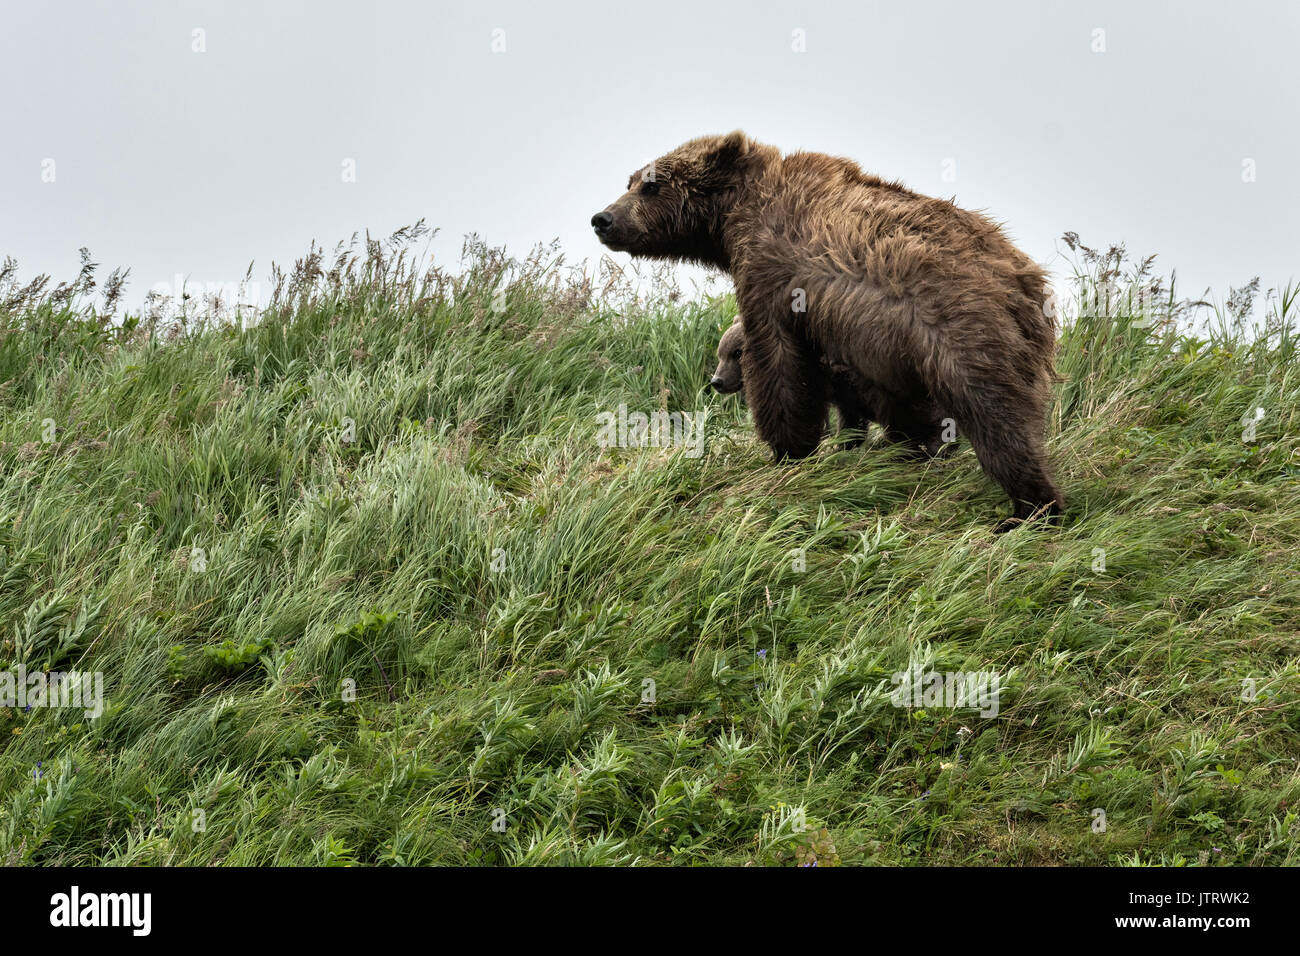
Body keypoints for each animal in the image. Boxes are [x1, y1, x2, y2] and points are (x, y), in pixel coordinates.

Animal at [711, 315, 954, 458]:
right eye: (720, 353)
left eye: (737, 353)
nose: (717, 381)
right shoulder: (844, 394)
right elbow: (850, 422)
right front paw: (844, 445)